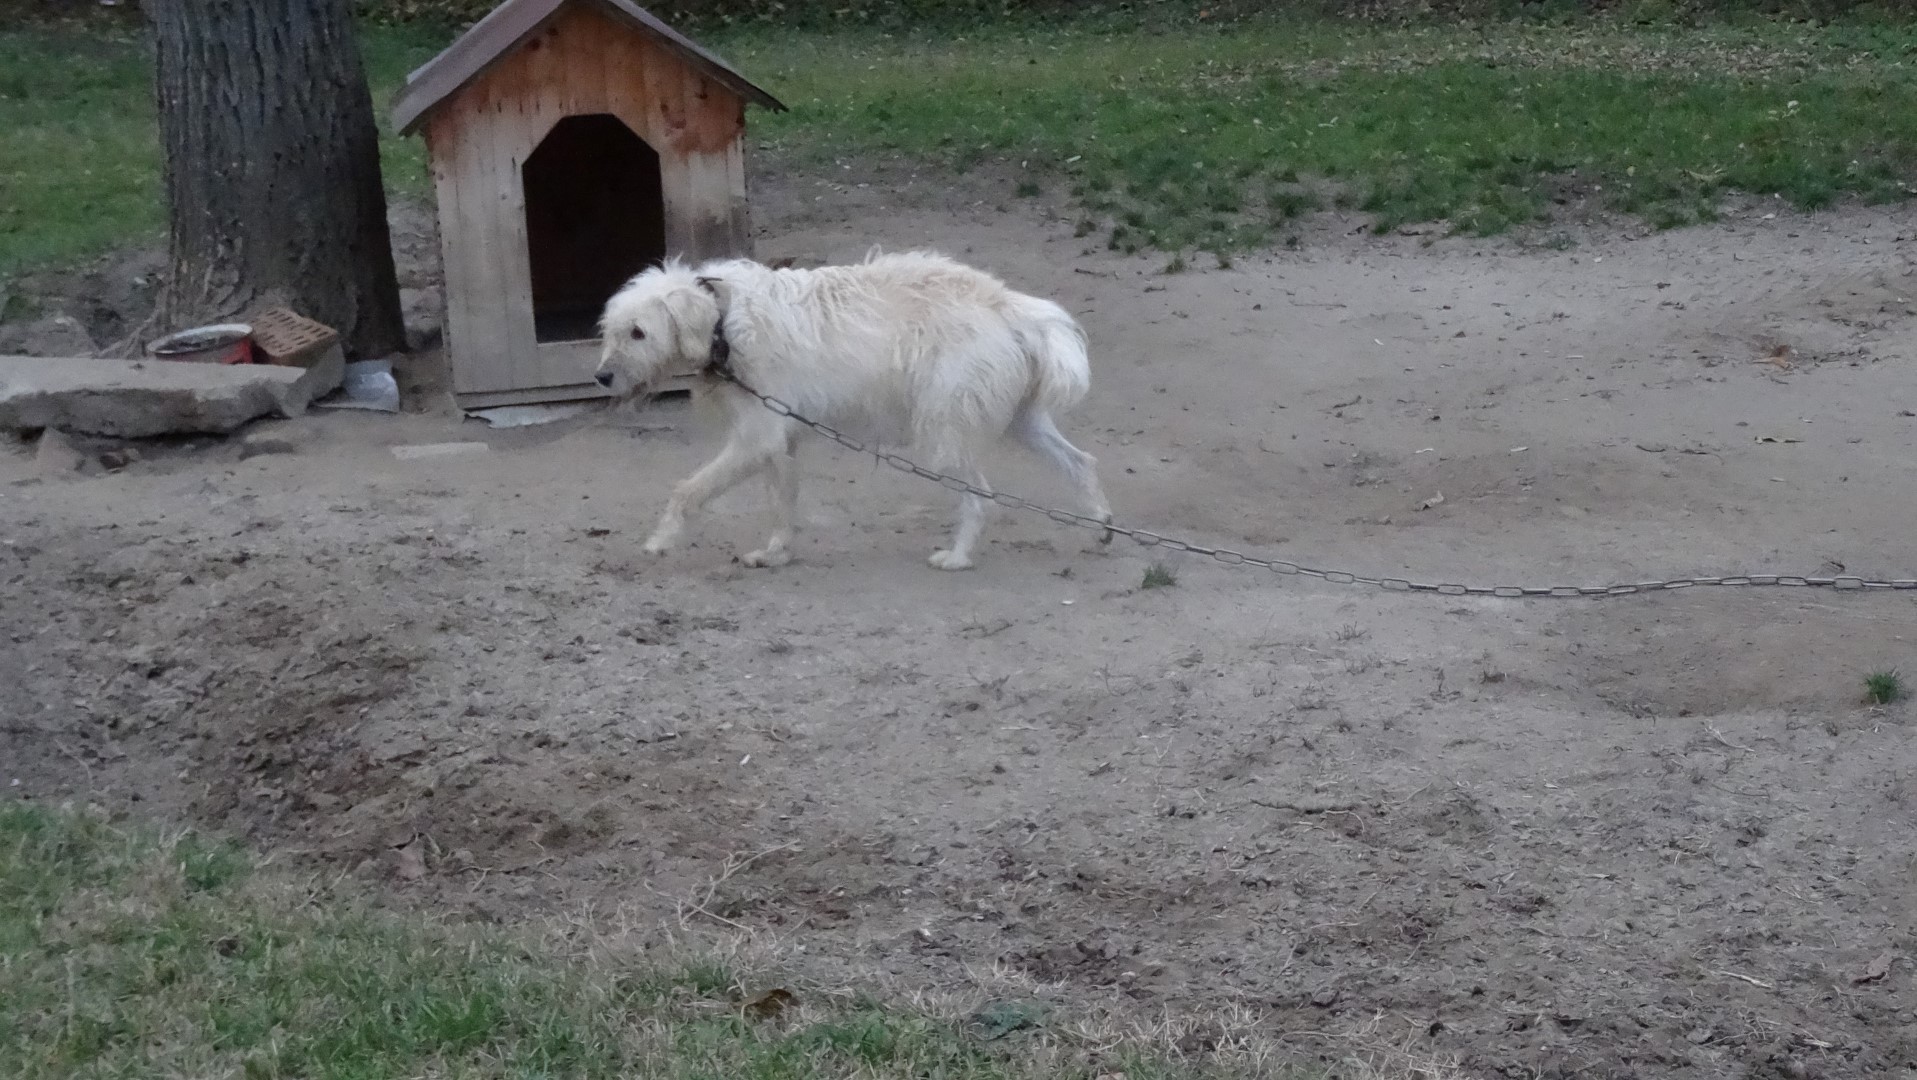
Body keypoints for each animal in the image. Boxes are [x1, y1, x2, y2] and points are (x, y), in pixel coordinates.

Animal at [594, 250, 1113, 570]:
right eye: (611, 330)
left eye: (639, 333)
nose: (601, 379)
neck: (724, 318)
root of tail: (1007, 305)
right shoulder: (778, 443)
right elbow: (781, 504)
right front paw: (776, 553)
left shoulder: (756, 439)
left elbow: (686, 491)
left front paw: (662, 539)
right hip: (1021, 424)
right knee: (1081, 462)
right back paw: (1100, 524)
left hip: (944, 437)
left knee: (982, 497)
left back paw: (958, 557)